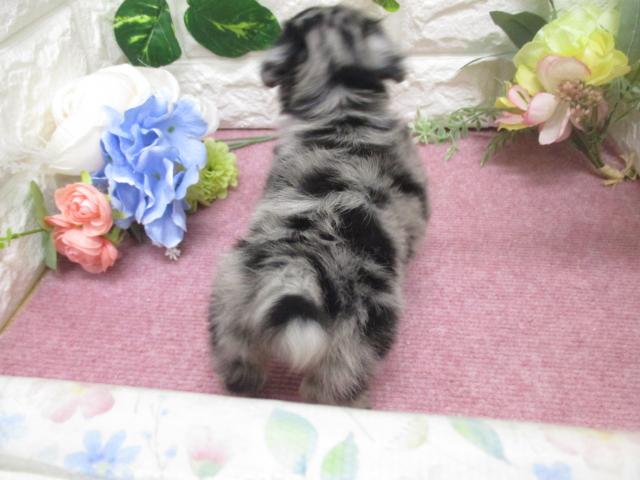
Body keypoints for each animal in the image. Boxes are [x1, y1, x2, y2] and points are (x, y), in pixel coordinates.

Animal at [209, 5, 428, 406]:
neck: (340, 105)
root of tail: (301, 268)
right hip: (355, 347)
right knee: (330, 391)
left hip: (230, 314)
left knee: (240, 371)